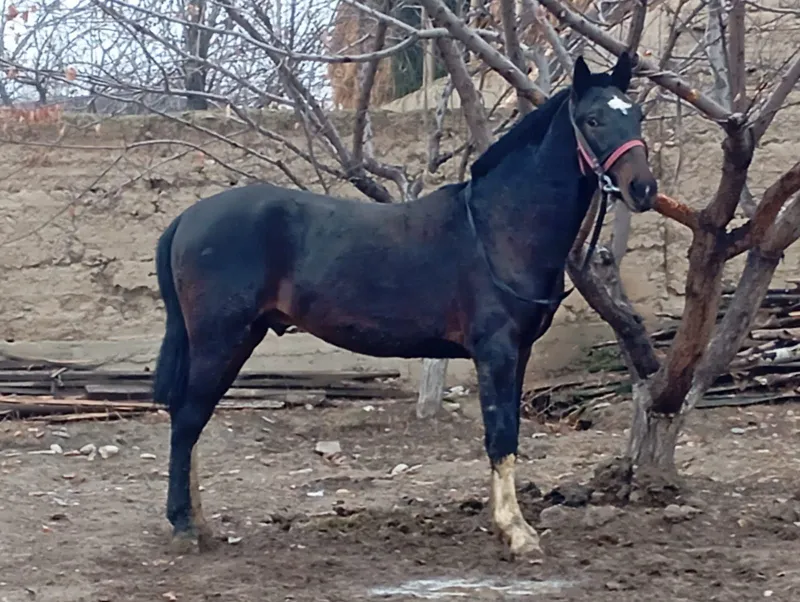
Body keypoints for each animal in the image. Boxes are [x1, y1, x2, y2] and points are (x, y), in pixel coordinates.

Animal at [152, 53, 657, 559]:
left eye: (636, 115)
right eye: (593, 120)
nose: (644, 189)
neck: (498, 227)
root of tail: (187, 218)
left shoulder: (520, 352)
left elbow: (509, 434)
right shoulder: (495, 352)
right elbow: (500, 436)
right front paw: (517, 532)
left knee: (190, 419)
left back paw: (201, 523)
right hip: (223, 339)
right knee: (188, 418)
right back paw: (184, 525)